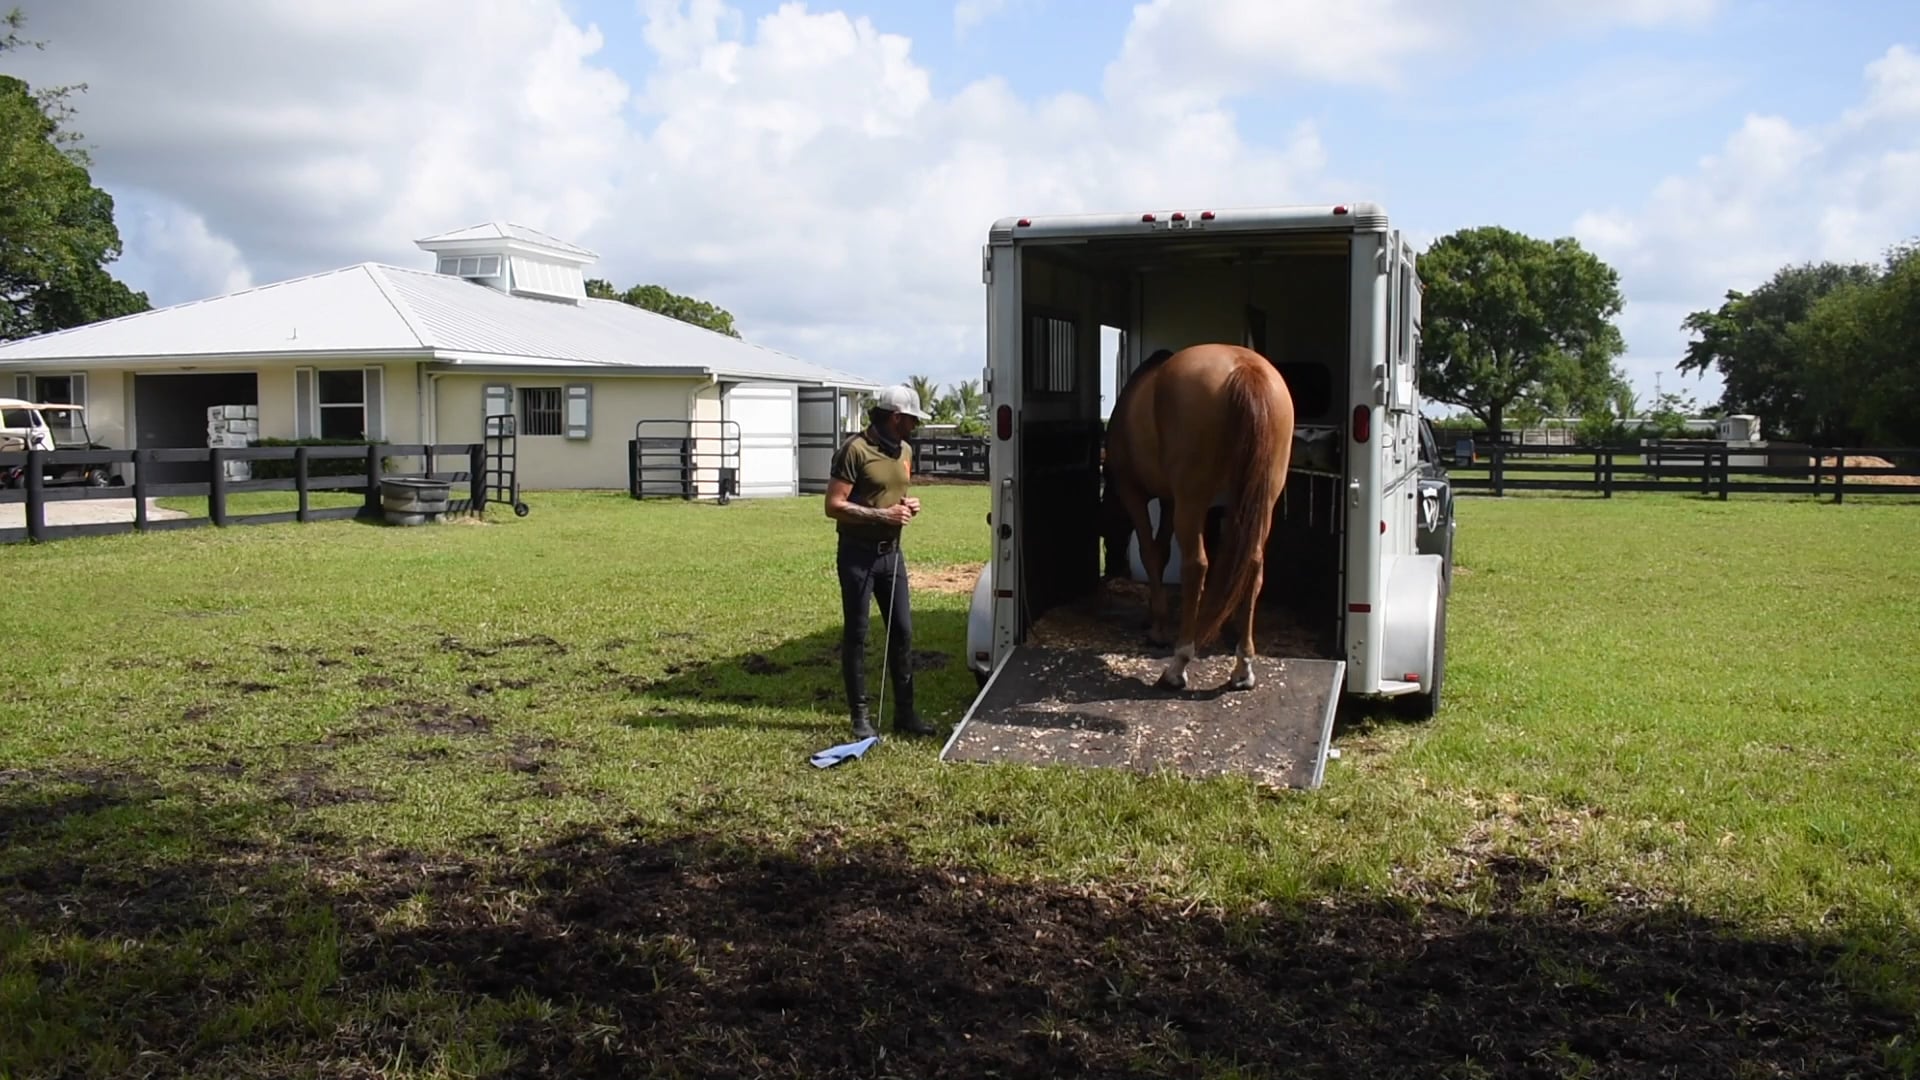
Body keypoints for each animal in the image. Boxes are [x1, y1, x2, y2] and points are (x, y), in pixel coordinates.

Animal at [1103, 343, 1296, 692]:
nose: (1113, 568)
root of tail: (1244, 368)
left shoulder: (1135, 493)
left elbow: (1151, 552)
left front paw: (1158, 628)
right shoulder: (1170, 500)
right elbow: (1162, 551)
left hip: (1193, 501)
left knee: (1196, 566)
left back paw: (1178, 665)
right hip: (1261, 501)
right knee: (1253, 565)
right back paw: (1242, 667)